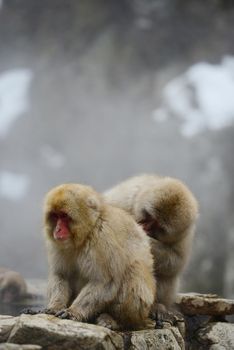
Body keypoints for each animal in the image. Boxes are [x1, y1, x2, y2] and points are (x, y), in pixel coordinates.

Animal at [43, 185, 156, 330]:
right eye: (55, 216)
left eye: (64, 216)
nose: (57, 230)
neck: (87, 233)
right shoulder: (56, 245)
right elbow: (61, 274)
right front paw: (55, 306)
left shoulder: (103, 237)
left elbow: (105, 281)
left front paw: (73, 311)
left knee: (135, 269)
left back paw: (114, 320)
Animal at [103, 174, 198, 312]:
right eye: (149, 216)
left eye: (159, 226)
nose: (146, 227)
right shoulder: (126, 198)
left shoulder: (185, 234)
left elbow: (176, 262)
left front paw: (147, 240)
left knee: (167, 275)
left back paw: (157, 305)